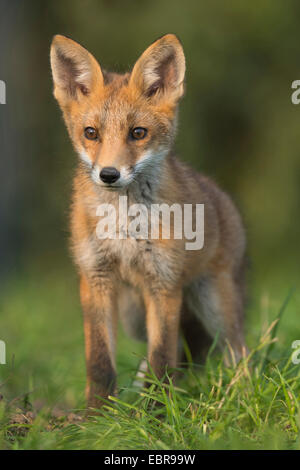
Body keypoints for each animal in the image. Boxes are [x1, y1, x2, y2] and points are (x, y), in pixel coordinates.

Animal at [49, 34, 246, 408]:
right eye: (91, 133)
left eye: (138, 133)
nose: (109, 174)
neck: (124, 225)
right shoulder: (95, 277)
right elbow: (100, 360)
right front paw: (97, 414)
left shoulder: (163, 282)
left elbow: (162, 357)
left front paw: (157, 411)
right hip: (134, 316)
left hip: (212, 303)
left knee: (237, 348)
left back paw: (239, 393)